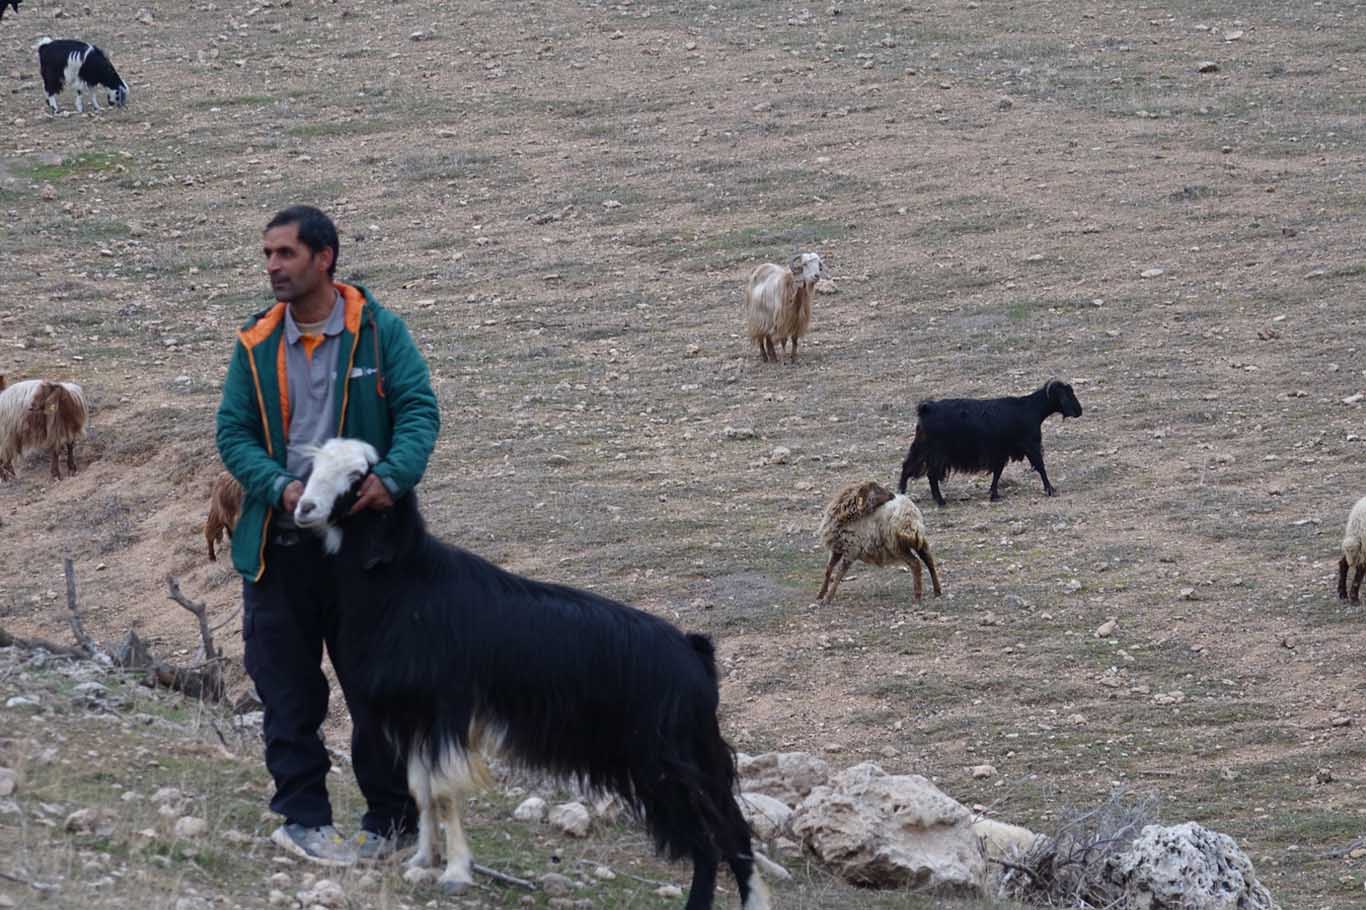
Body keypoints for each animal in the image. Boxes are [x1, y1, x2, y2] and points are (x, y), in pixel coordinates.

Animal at [292, 437, 770, 901]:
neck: (407, 585)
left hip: (667, 768)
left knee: (711, 843)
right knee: (732, 834)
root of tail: (695, 652)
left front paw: (456, 874)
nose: (304, 509)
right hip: (691, 760)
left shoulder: (446, 712)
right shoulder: (415, 719)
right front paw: (421, 863)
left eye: (358, 476)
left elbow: (444, 793)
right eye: (314, 466)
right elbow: (421, 790)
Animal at [814, 478, 945, 598]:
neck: (845, 516)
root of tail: (909, 515)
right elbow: (828, 569)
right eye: (875, 489)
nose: (892, 495)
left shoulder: (852, 549)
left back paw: (918, 594)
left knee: (915, 563)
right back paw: (937, 590)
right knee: (929, 561)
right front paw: (821, 594)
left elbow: (839, 574)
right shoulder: (838, 547)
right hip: (919, 540)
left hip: (896, 545)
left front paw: (828, 598)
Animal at [896, 374, 1087, 502]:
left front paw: (994, 494)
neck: (1030, 408)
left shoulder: (1001, 451)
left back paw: (902, 492)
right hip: (937, 452)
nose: (1079, 411)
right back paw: (940, 501)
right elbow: (1040, 466)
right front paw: (1050, 490)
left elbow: (998, 471)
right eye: (1066, 394)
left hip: (921, 447)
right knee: (930, 474)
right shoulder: (1030, 445)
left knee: (908, 466)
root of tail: (926, 408)